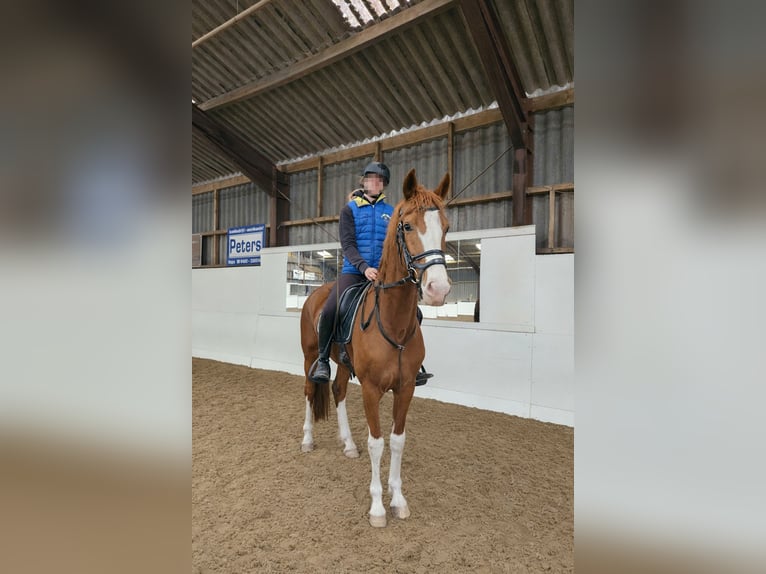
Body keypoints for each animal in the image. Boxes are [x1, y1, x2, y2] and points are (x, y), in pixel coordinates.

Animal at [300, 168, 451, 527]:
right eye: (407, 226)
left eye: (446, 227)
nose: (438, 289)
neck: (393, 322)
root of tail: (317, 292)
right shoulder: (371, 388)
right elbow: (377, 444)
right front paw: (377, 508)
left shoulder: (406, 388)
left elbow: (396, 442)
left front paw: (398, 499)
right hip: (310, 355)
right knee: (311, 390)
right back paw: (308, 439)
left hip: (343, 363)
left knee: (338, 390)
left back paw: (347, 444)